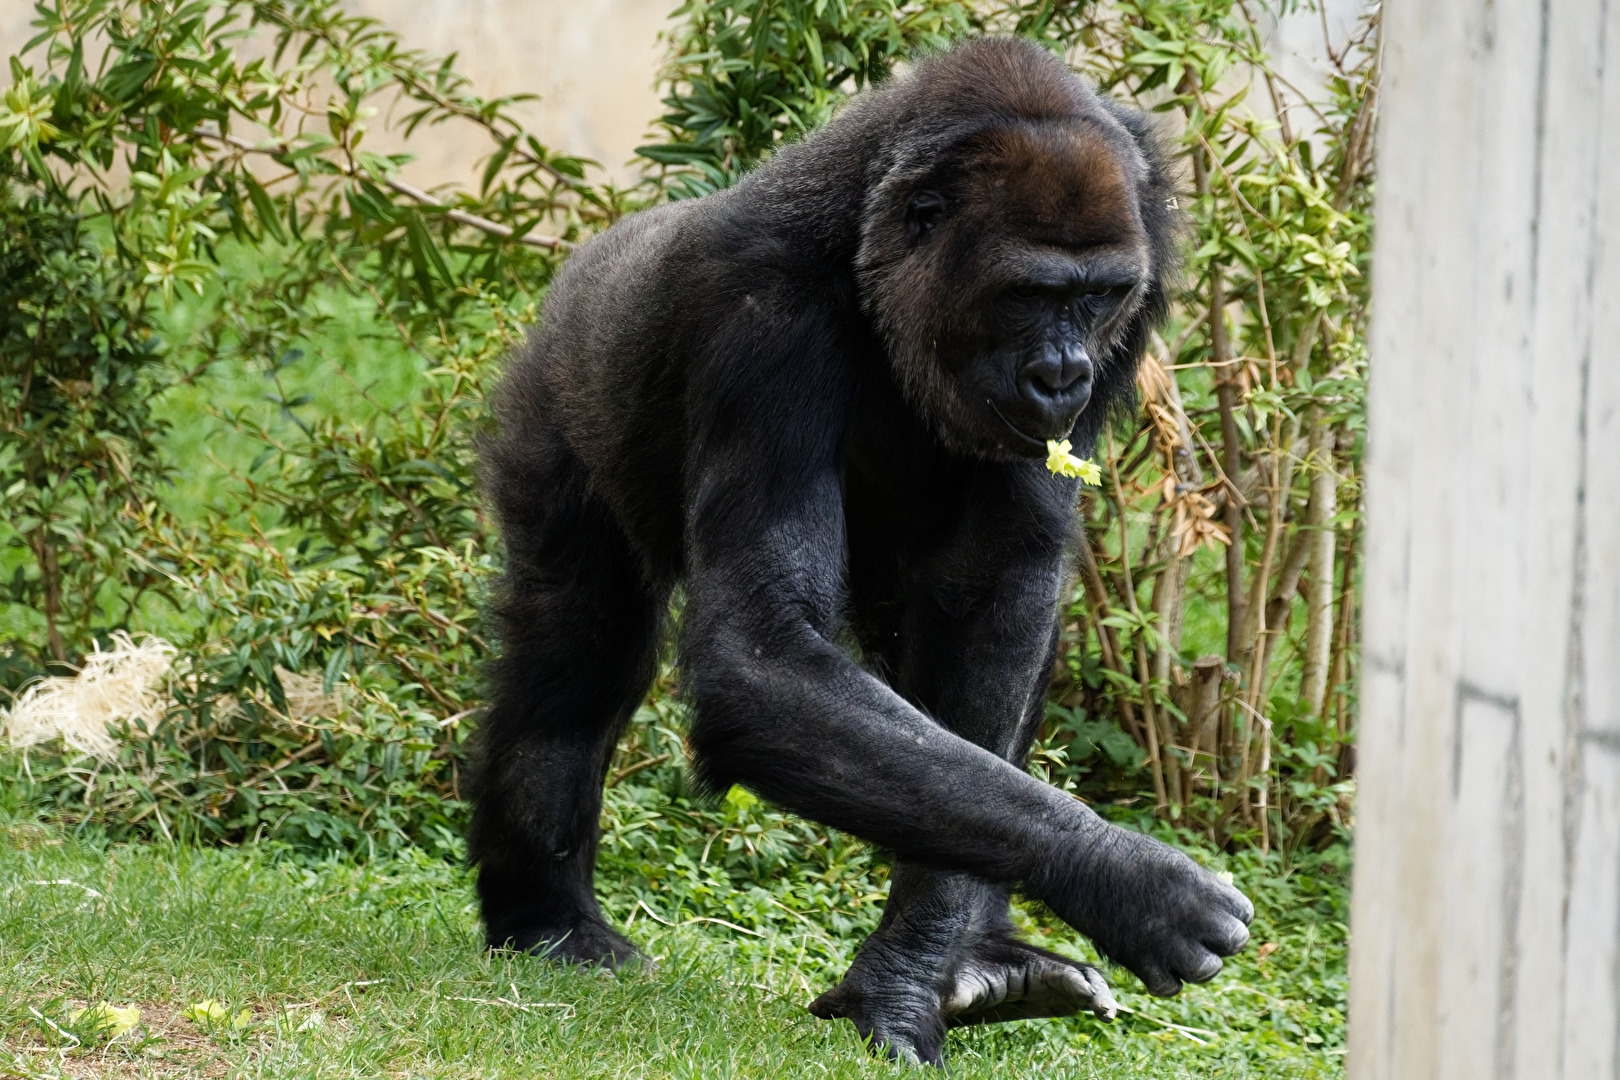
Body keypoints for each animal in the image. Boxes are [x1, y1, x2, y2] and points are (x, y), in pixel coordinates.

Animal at [470, 35, 1252, 1065]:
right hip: (562, 386)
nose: (1062, 375)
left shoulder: (1143, 273)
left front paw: (923, 967)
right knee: (578, 653)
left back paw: (983, 950)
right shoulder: (760, 316)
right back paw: (547, 919)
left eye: (1099, 300)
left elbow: (993, 611)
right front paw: (1125, 880)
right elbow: (761, 655)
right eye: (1030, 295)